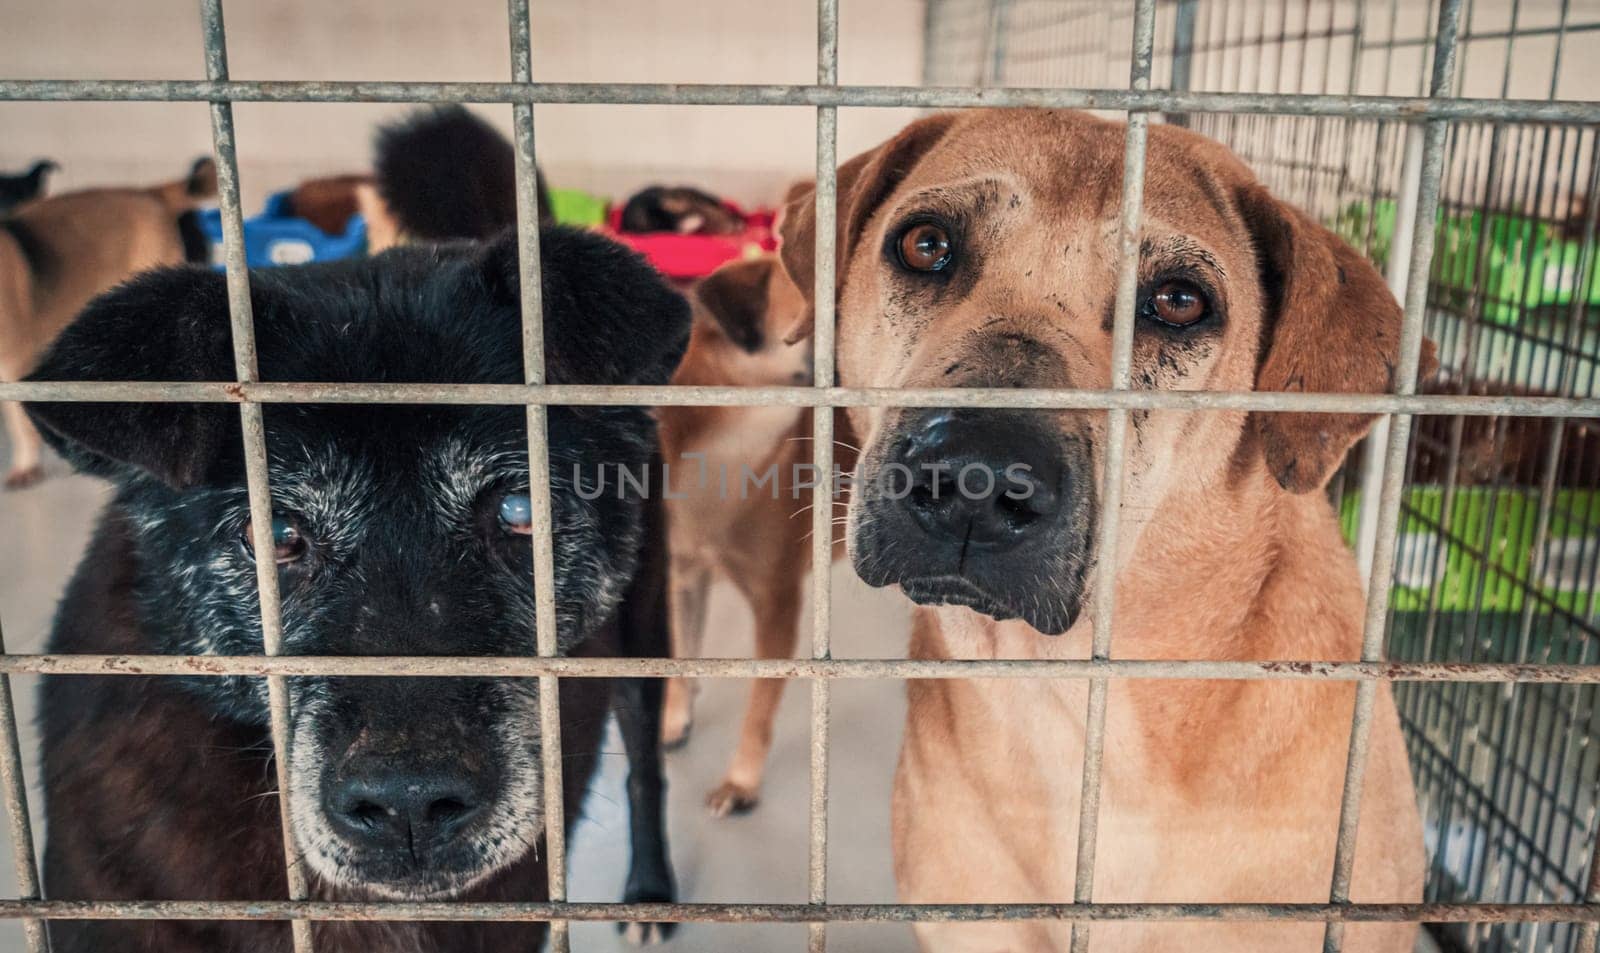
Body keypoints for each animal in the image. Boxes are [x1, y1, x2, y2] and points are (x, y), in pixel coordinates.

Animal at [656, 254, 857, 818]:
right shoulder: (683, 579)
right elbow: (681, 655)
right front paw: (675, 718)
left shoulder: (777, 607)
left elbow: (759, 709)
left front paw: (741, 780)